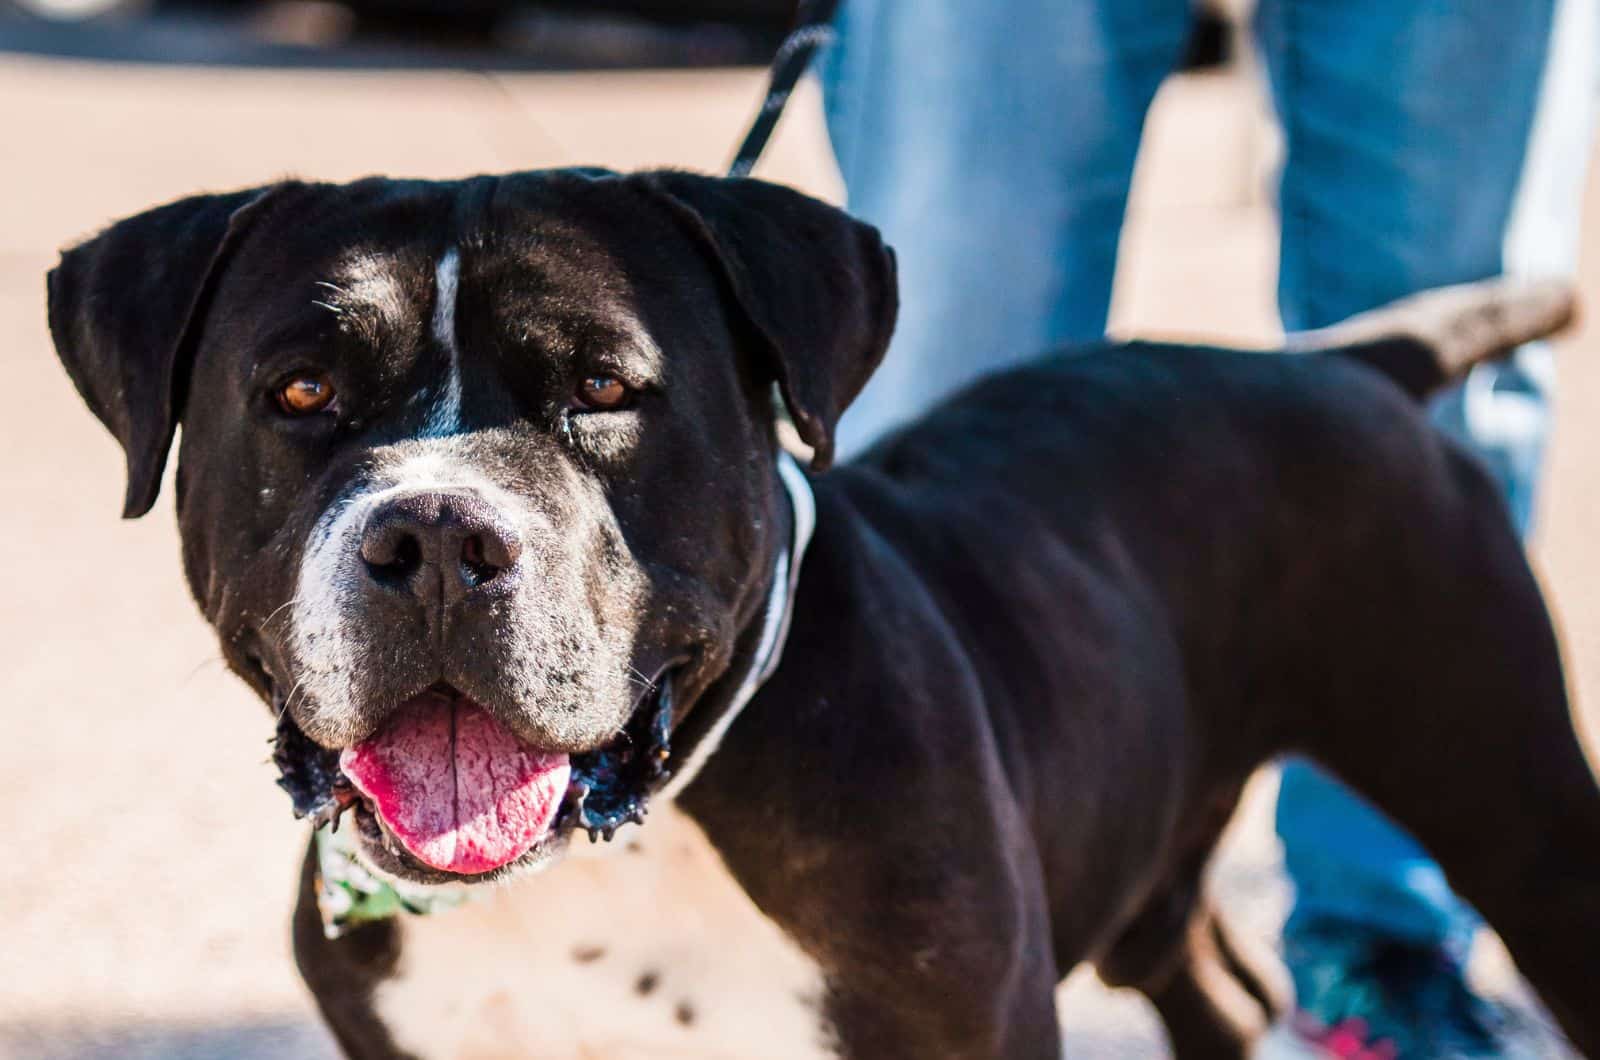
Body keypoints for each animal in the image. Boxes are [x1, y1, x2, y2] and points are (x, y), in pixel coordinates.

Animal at [43, 170, 1600, 1056]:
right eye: (301, 393)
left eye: (604, 387)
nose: (433, 534)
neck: (626, 851)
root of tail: (1351, 358)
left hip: (1516, 813)